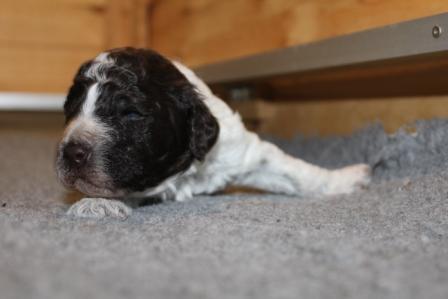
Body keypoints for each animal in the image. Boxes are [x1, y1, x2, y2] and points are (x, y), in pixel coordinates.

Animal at [56, 48, 372, 219]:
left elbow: (298, 173)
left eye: (131, 113)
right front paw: (97, 203)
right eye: (70, 109)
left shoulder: (243, 152)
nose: (71, 153)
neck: (183, 174)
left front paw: (346, 178)